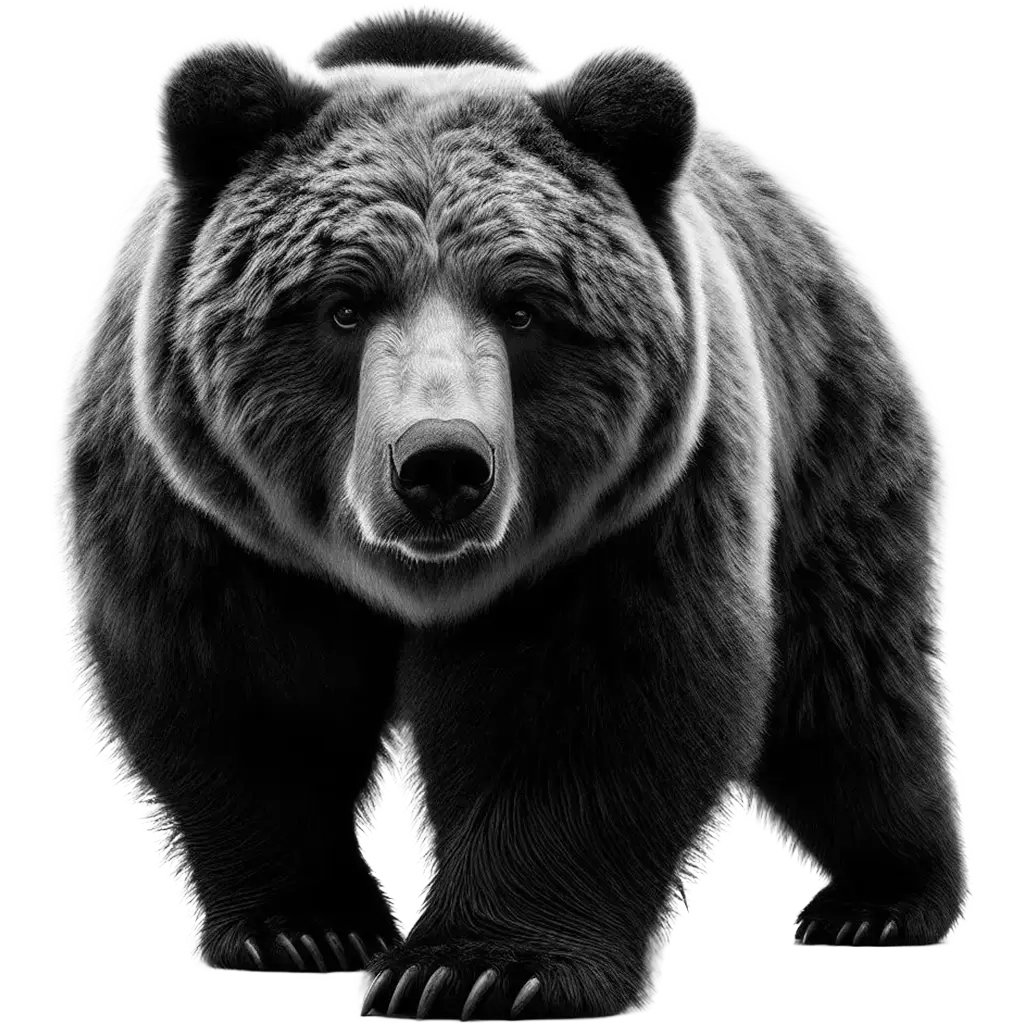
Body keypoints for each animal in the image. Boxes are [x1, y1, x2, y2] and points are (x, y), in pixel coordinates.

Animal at [52, 3, 971, 1019]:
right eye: (342, 306)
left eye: (523, 306)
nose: (441, 464)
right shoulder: (206, 521)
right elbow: (244, 690)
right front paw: (307, 922)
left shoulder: (620, 519)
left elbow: (581, 706)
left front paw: (473, 965)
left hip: (829, 436)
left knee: (849, 681)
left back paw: (881, 899)